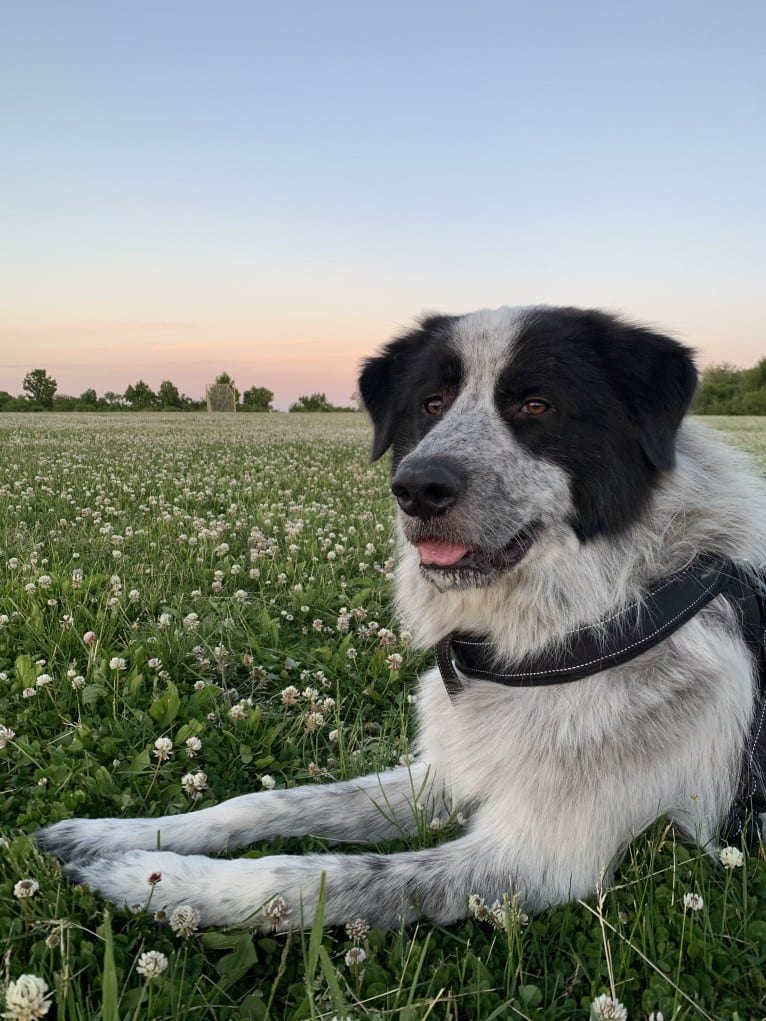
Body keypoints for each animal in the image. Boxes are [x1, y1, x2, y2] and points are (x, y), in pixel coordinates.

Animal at [37, 306, 766, 931]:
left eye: (536, 405)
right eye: (431, 404)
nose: (418, 486)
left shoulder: (540, 856)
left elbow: (315, 876)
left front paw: (153, 878)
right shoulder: (439, 778)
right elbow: (270, 801)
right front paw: (109, 835)